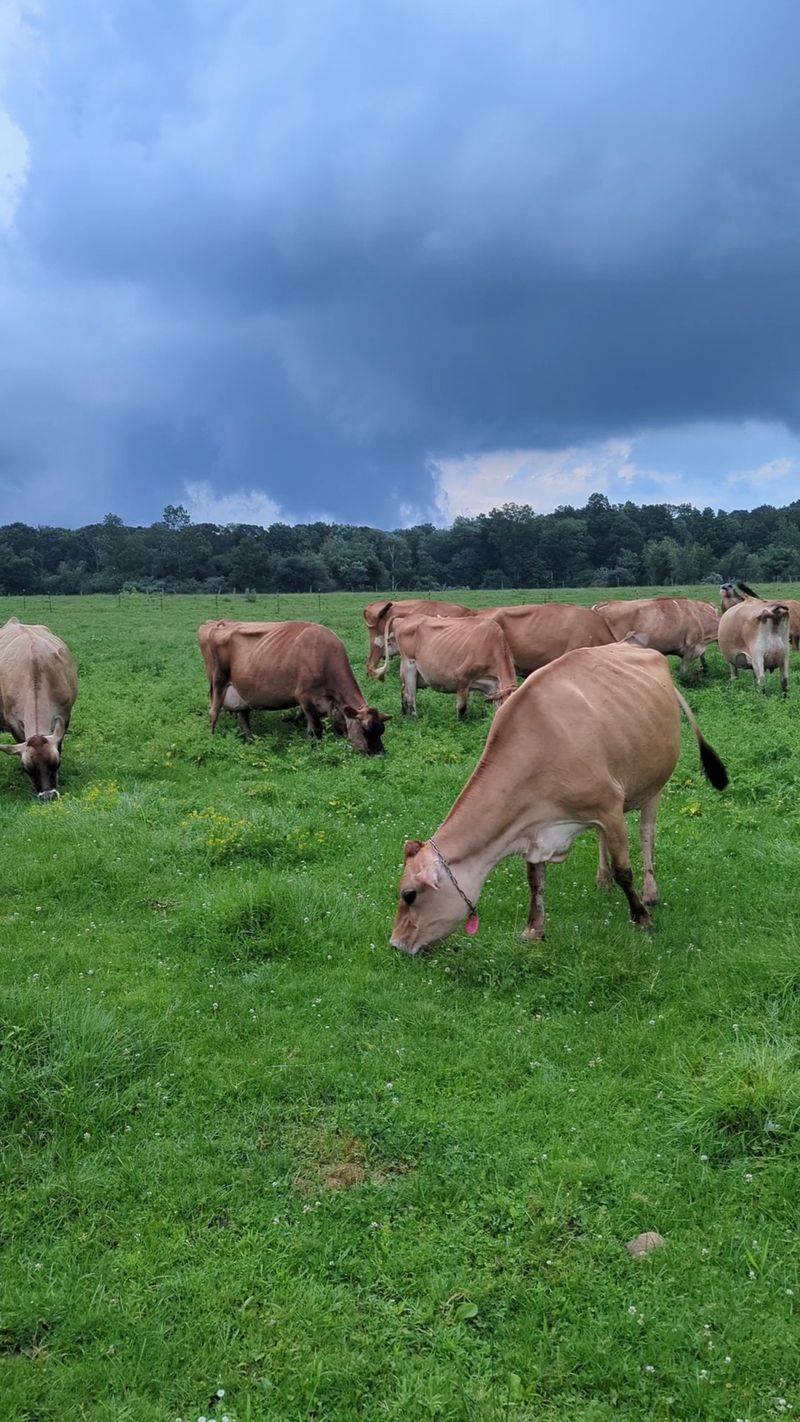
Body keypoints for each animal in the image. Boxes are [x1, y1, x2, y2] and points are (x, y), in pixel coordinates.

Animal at [198, 619, 390, 754]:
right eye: (365, 730)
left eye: (381, 730)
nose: (380, 754)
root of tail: (217, 626)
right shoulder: (305, 697)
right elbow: (316, 728)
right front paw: (317, 750)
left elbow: (310, 728)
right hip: (218, 681)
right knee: (213, 711)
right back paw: (211, 738)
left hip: (241, 690)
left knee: (243, 716)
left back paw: (251, 741)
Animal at [390, 640, 727, 953]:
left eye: (409, 894)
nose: (395, 944)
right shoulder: (537, 828)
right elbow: (536, 880)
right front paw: (534, 929)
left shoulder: (608, 808)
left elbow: (625, 870)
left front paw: (642, 918)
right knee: (603, 839)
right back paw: (602, 879)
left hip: (653, 784)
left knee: (647, 836)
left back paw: (650, 891)